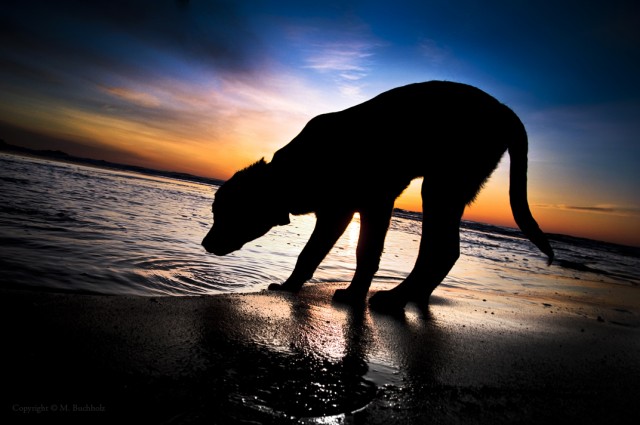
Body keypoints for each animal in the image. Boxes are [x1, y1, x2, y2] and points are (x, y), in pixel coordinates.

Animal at [202, 80, 552, 312]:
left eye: (226, 213)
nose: (204, 244)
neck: (295, 170)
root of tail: (504, 110)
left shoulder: (374, 203)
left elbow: (365, 252)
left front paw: (354, 295)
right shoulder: (337, 212)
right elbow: (310, 253)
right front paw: (290, 287)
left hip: (441, 186)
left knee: (440, 249)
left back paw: (396, 297)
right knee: (446, 251)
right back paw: (414, 296)